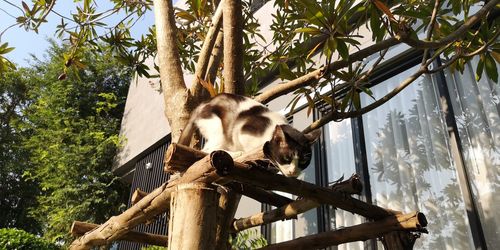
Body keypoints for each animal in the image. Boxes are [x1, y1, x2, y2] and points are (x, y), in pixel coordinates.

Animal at [178, 93, 322, 177]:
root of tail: (201, 105)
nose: (293, 172)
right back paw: (236, 154)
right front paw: (252, 160)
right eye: (287, 158)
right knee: (207, 150)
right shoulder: (242, 132)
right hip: (217, 127)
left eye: (303, 161)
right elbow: (249, 151)